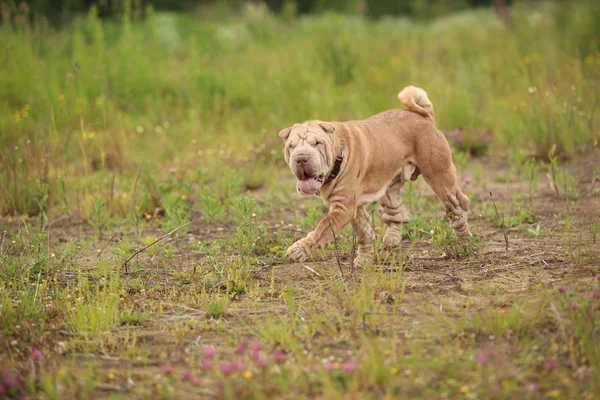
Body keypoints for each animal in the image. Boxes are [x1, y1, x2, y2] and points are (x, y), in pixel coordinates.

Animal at [278, 85, 472, 266]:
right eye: (291, 146)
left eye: (317, 143)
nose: (301, 158)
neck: (338, 154)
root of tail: (425, 117)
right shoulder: (353, 207)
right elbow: (364, 232)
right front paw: (365, 259)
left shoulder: (343, 206)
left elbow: (321, 229)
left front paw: (299, 249)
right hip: (388, 184)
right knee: (396, 211)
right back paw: (392, 239)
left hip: (439, 177)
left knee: (457, 205)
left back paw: (465, 239)